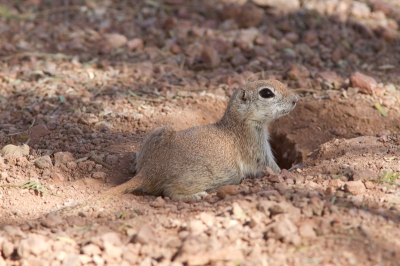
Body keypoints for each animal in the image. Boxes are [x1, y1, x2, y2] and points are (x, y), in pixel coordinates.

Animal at [55, 80, 296, 215]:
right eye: (266, 93)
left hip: (160, 131)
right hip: (204, 176)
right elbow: (272, 168)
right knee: (169, 192)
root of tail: (148, 171)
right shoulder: (257, 148)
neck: (237, 122)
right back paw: (196, 196)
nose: (295, 99)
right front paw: (291, 170)